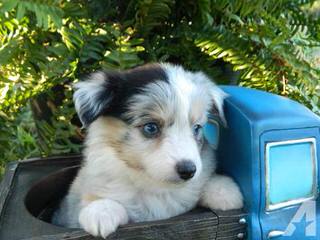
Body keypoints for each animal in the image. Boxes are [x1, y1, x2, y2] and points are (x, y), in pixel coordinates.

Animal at [52, 62, 242, 237]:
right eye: (151, 127)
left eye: (197, 128)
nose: (188, 171)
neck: (154, 184)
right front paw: (101, 211)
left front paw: (225, 191)